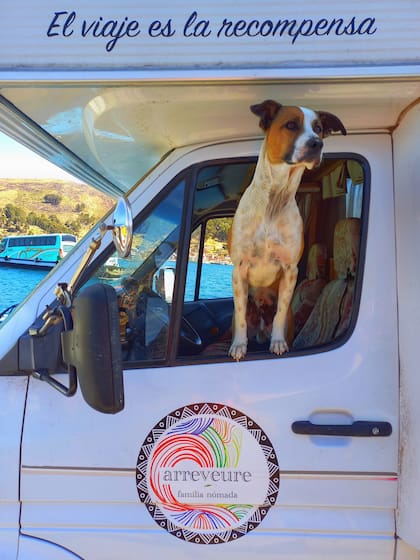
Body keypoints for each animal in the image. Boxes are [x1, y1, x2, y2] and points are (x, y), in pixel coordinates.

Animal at [228, 98, 346, 360]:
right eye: (291, 125)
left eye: (319, 128)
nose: (317, 143)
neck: (274, 200)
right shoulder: (239, 269)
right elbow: (240, 314)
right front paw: (239, 345)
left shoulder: (290, 270)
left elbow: (281, 312)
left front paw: (278, 342)